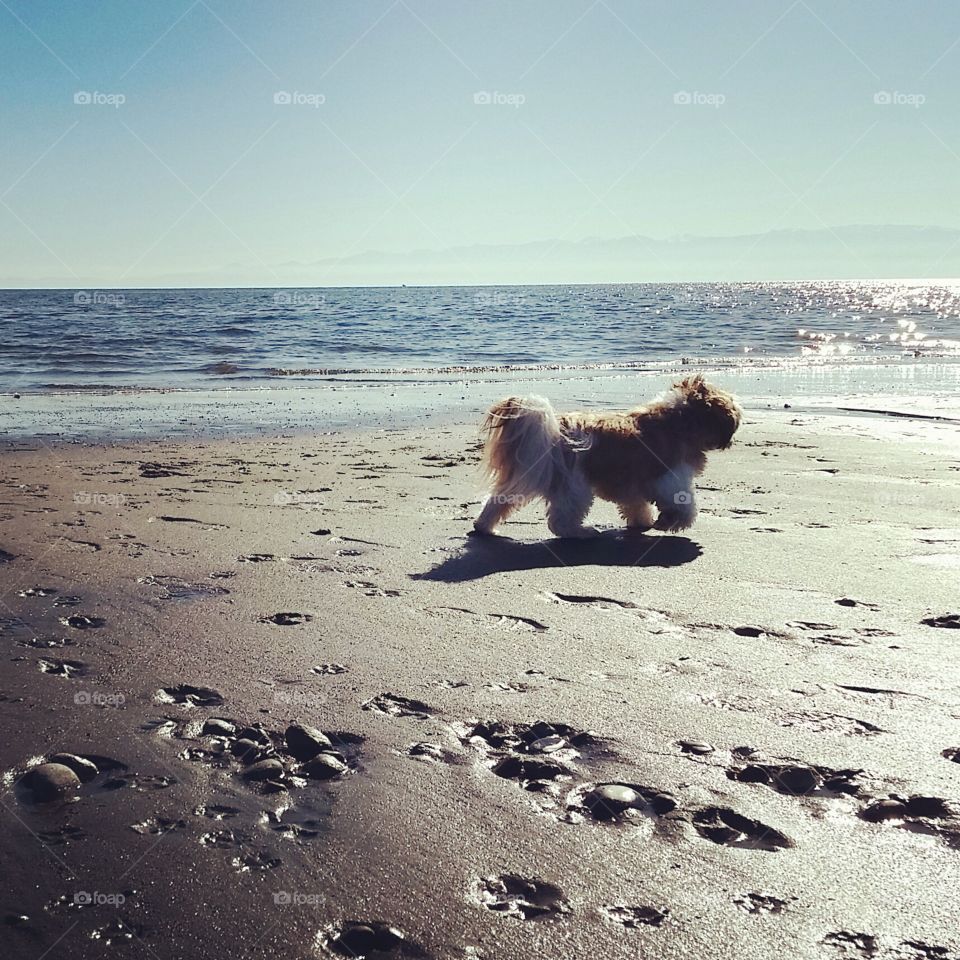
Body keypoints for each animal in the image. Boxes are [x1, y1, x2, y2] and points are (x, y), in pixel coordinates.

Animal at [472, 376, 744, 540]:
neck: (680, 418)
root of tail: (553, 429)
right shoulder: (670, 477)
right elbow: (683, 505)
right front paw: (671, 522)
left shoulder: (635, 483)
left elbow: (636, 504)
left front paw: (642, 522)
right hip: (575, 487)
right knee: (560, 521)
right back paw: (583, 532)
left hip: (527, 475)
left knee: (498, 501)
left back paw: (484, 527)